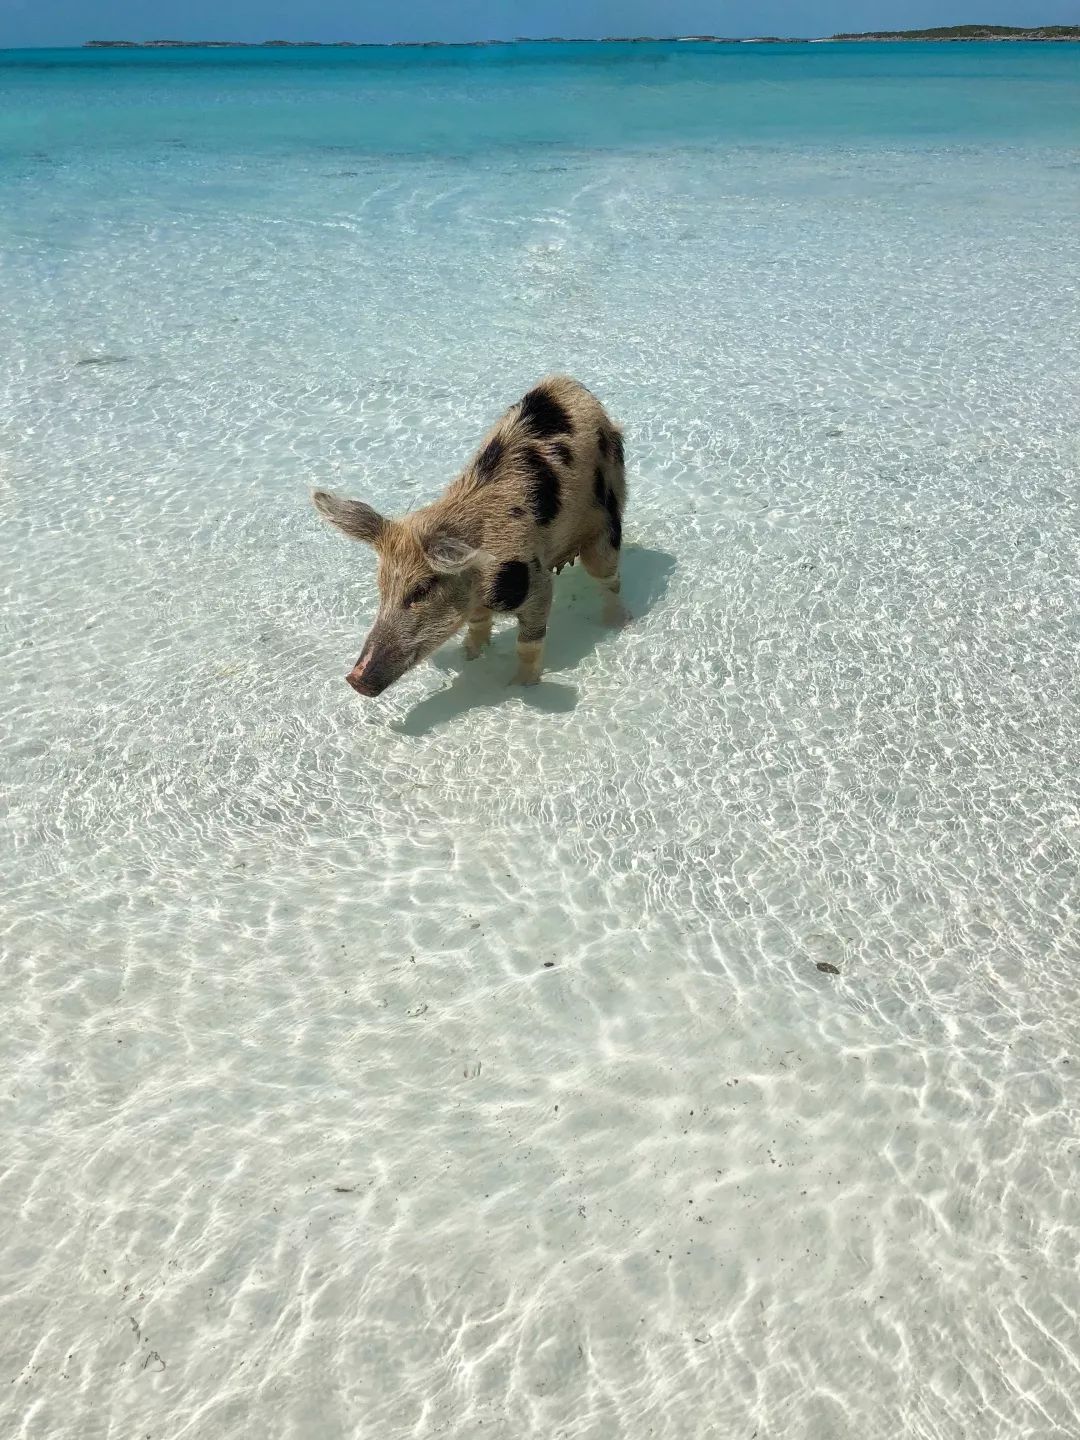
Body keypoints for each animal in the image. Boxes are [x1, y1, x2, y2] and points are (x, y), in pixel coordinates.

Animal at [312, 377, 624, 696]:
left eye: (422, 590)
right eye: (381, 587)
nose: (354, 679)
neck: (480, 584)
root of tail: (569, 384)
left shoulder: (536, 583)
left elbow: (528, 643)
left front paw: (520, 686)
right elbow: (477, 623)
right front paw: (470, 655)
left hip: (608, 514)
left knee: (609, 579)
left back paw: (615, 623)